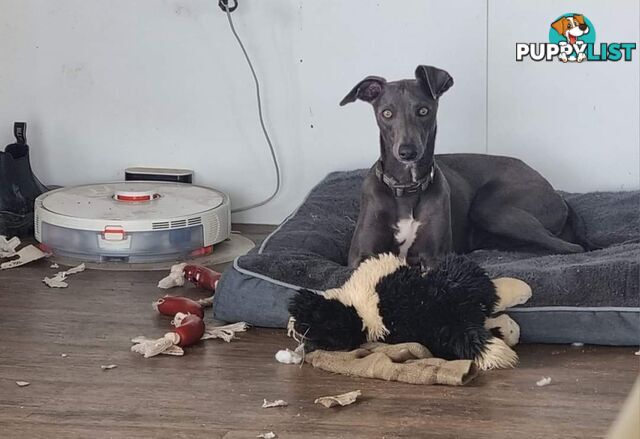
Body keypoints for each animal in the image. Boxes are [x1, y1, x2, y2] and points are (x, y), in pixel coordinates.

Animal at [344, 65, 584, 268]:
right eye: (386, 113)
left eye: (423, 110)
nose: (407, 153)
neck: (406, 188)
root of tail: (556, 194)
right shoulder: (361, 256)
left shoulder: (435, 256)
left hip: (491, 208)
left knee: (573, 247)